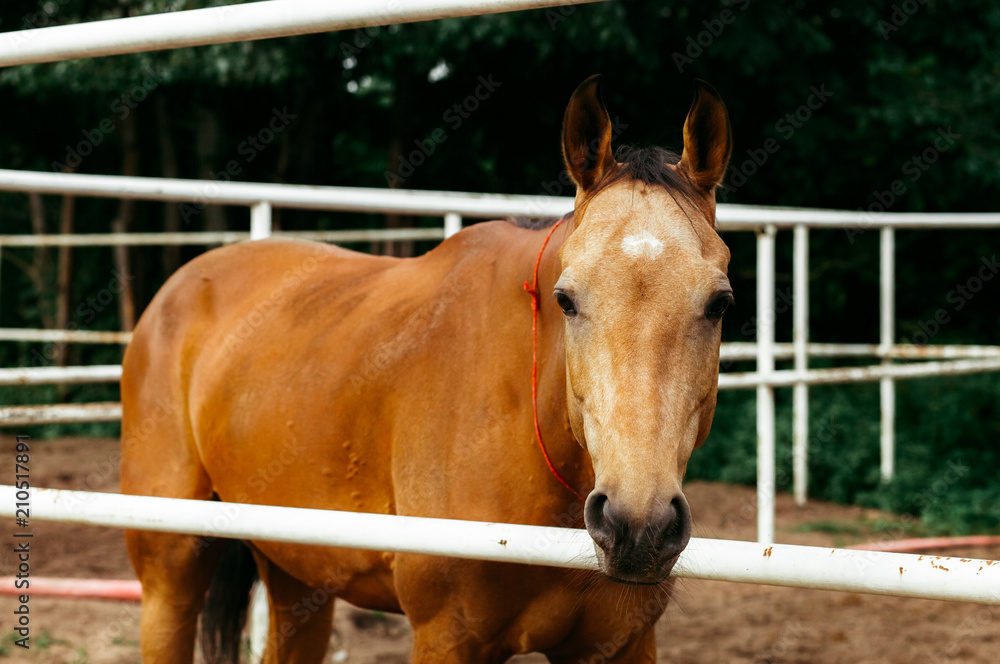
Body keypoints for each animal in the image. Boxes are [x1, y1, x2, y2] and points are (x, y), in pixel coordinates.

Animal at [121, 74, 733, 663]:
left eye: (719, 303)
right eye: (566, 299)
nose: (638, 526)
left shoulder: (623, 643)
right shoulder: (447, 637)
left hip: (299, 574)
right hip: (170, 578)